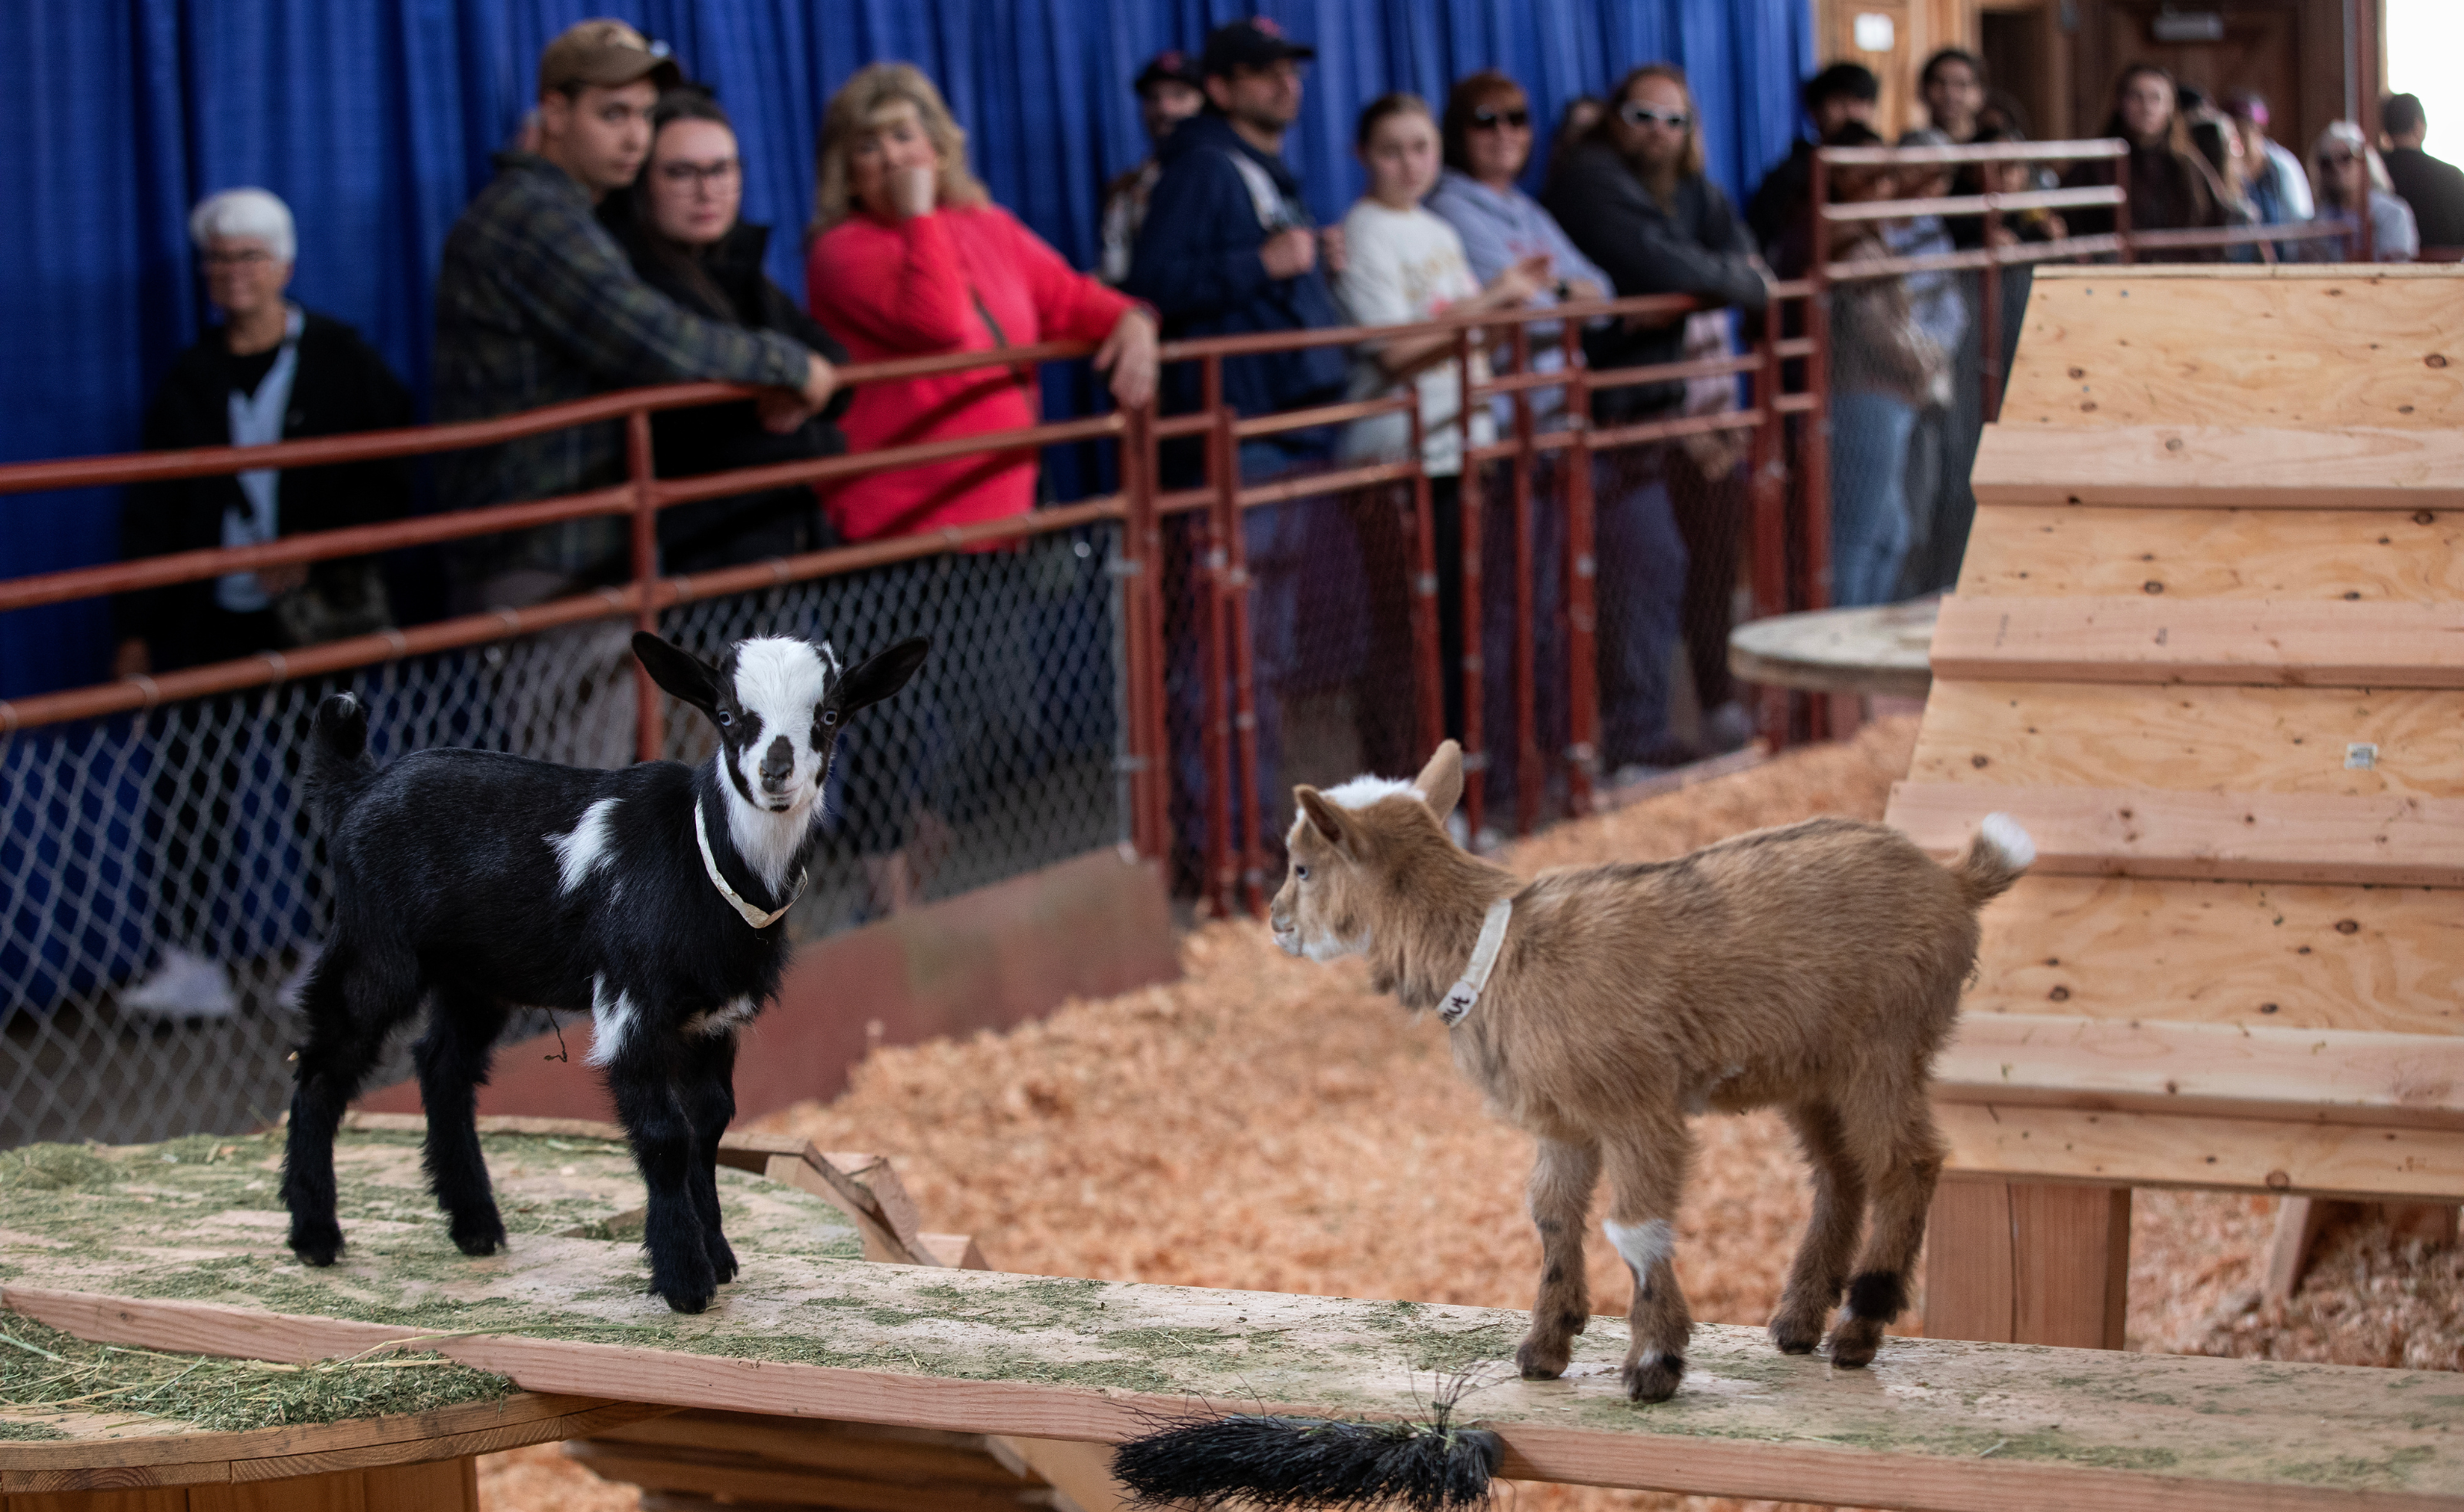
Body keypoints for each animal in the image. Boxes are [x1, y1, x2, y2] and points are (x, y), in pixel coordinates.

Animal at [280, 631, 928, 1313]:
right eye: (727, 715)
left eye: (828, 715)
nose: (774, 774)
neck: (702, 855)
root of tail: (357, 786)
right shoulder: (631, 1003)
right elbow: (666, 1134)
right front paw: (684, 1279)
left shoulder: (713, 1018)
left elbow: (710, 1127)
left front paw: (718, 1254)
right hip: (375, 949)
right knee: (322, 1065)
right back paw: (315, 1235)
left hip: (475, 975)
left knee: (442, 1065)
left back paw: (476, 1225)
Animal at [1268, 742, 2031, 1403]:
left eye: (1302, 867)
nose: (1276, 921)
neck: (1498, 948)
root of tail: (1956, 879)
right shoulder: (1564, 1123)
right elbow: (1551, 1213)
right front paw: (1545, 1347)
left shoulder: (1636, 1108)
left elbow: (1635, 1227)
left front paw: (1654, 1364)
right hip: (1815, 1073)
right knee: (1840, 1172)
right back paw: (1797, 1322)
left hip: (1885, 1048)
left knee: (1907, 1163)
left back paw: (1858, 1327)